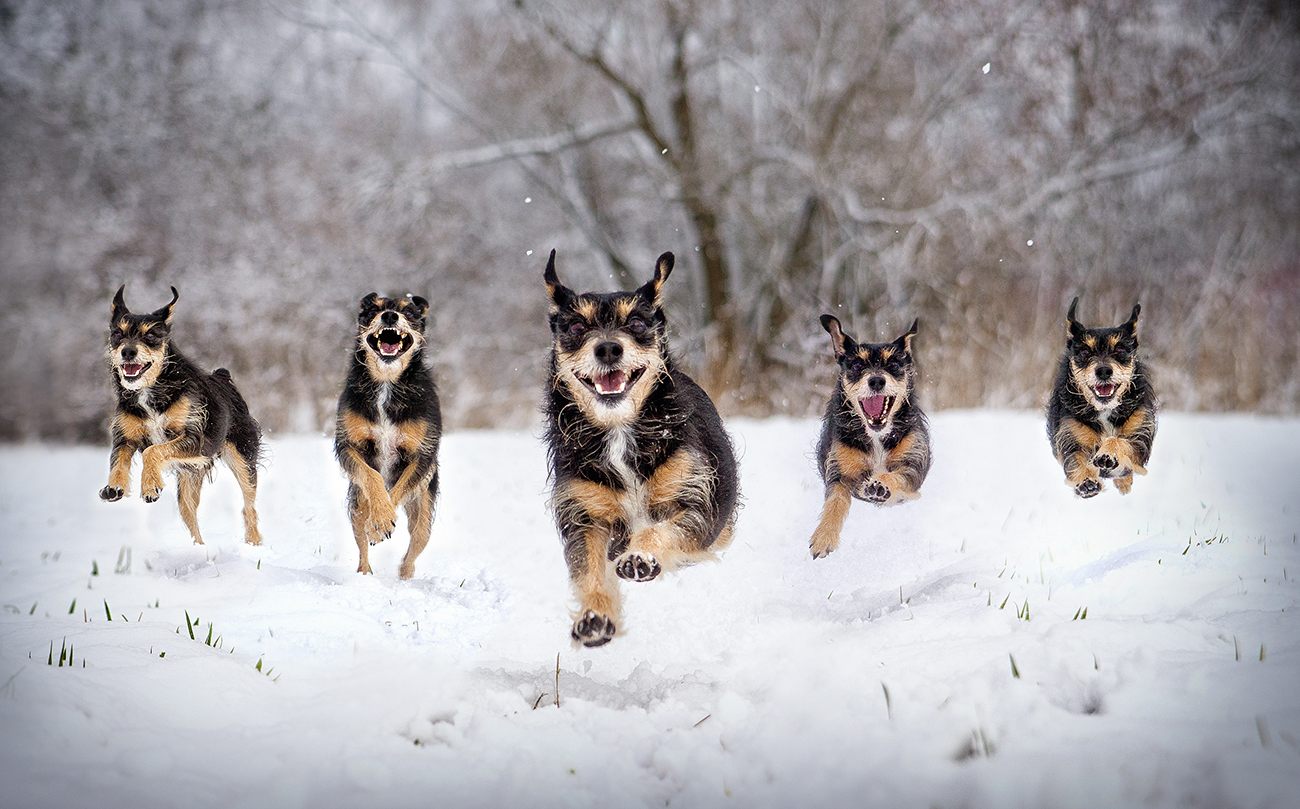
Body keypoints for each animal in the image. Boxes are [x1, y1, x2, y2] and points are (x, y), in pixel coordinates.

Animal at [99, 284, 261, 546]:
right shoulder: (126, 437)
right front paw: (114, 487)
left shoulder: (194, 438)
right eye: (117, 334)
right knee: (191, 517)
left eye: (151, 336)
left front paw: (150, 486)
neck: (152, 388)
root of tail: (224, 377)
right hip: (189, 478)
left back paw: (253, 543)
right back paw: (200, 551)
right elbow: (118, 461)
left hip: (242, 458)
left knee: (249, 506)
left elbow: (152, 451)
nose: (128, 351)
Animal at [330, 295, 441, 580]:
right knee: (361, 540)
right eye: (373, 310)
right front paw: (379, 519)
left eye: (409, 312)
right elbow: (372, 475)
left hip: (424, 508)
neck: (387, 383)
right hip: (356, 503)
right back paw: (364, 574)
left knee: (417, 541)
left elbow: (398, 488)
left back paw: (404, 574)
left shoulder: (422, 454)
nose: (389, 315)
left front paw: (381, 522)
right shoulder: (349, 445)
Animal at [540, 251, 743, 650]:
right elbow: (589, 571)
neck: (619, 427)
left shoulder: (695, 502)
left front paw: (640, 556)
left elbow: (661, 530)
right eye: (575, 327)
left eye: (635, 321)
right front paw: (595, 617)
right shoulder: (586, 516)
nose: (607, 347)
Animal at [806, 319, 930, 561]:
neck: (877, 436)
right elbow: (835, 502)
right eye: (856, 366)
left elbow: (898, 476)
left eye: (893, 365)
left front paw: (879, 485)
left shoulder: (914, 461)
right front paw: (823, 538)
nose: (876, 380)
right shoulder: (840, 472)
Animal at [1045, 297, 1159, 496]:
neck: (1104, 409)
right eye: (1084, 352)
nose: (1104, 370)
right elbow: (1076, 461)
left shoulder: (1140, 437)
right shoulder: (1071, 437)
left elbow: (1121, 441)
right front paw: (1086, 482)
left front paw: (1108, 454)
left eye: (1120, 350)